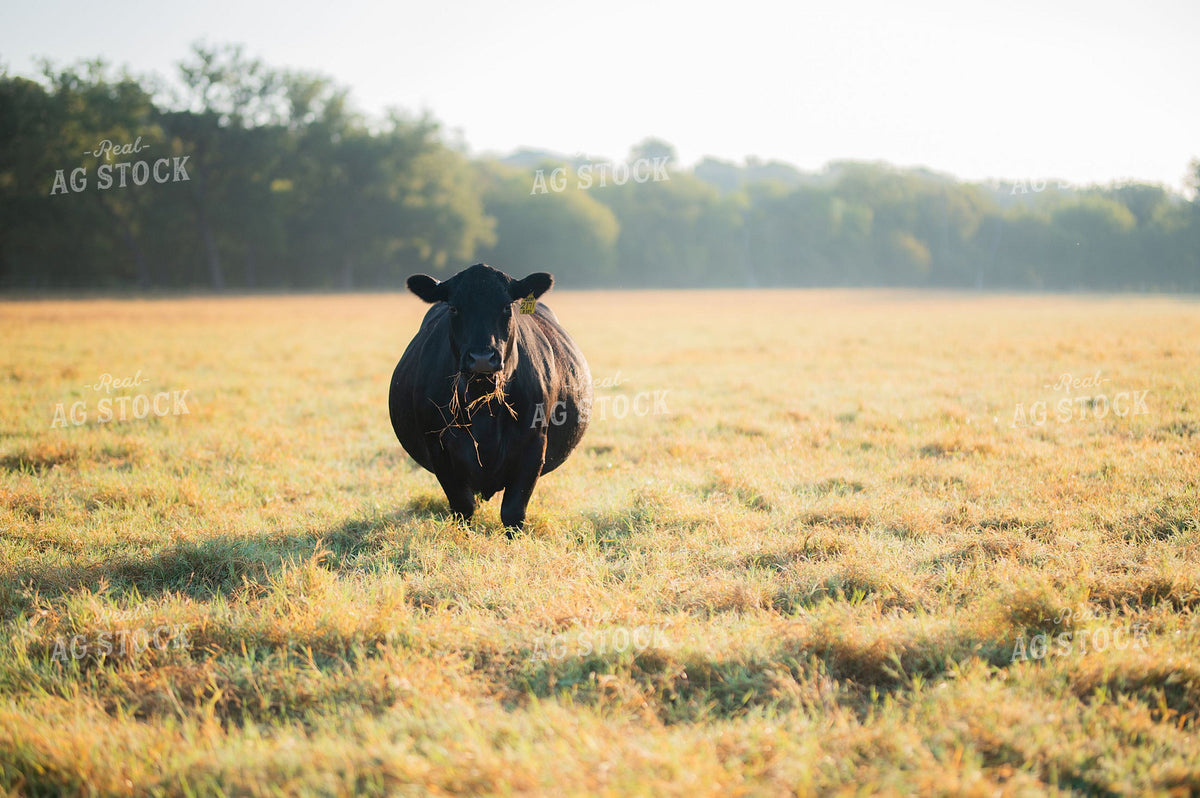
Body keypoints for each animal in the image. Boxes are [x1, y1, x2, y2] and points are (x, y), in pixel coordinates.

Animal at [389, 263, 592, 533]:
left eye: (506, 306)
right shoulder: (439, 448)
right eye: (454, 307)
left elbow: (513, 513)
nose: (482, 358)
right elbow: (463, 508)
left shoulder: (533, 445)